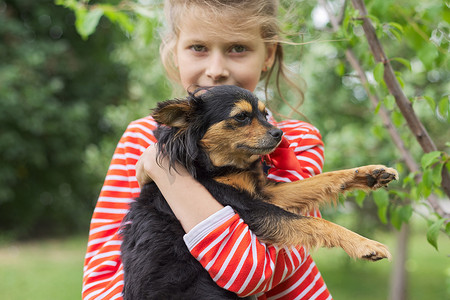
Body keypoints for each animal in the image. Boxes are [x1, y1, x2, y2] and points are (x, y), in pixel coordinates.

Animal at [121, 85, 400, 300]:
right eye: (241, 117)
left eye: (265, 114)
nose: (279, 133)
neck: (217, 168)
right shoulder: (248, 208)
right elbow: (315, 223)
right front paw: (365, 244)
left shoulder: (264, 195)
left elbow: (321, 180)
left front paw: (369, 173)